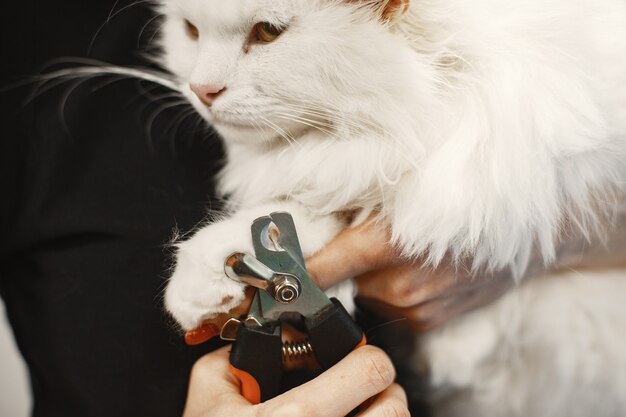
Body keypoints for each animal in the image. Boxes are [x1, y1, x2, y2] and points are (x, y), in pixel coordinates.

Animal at [160, 1, 624, 414]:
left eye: (268, 33)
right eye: (191, 32)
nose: (201, 91)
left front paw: (461, 347)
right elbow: (305, 212)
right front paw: (203, 280)